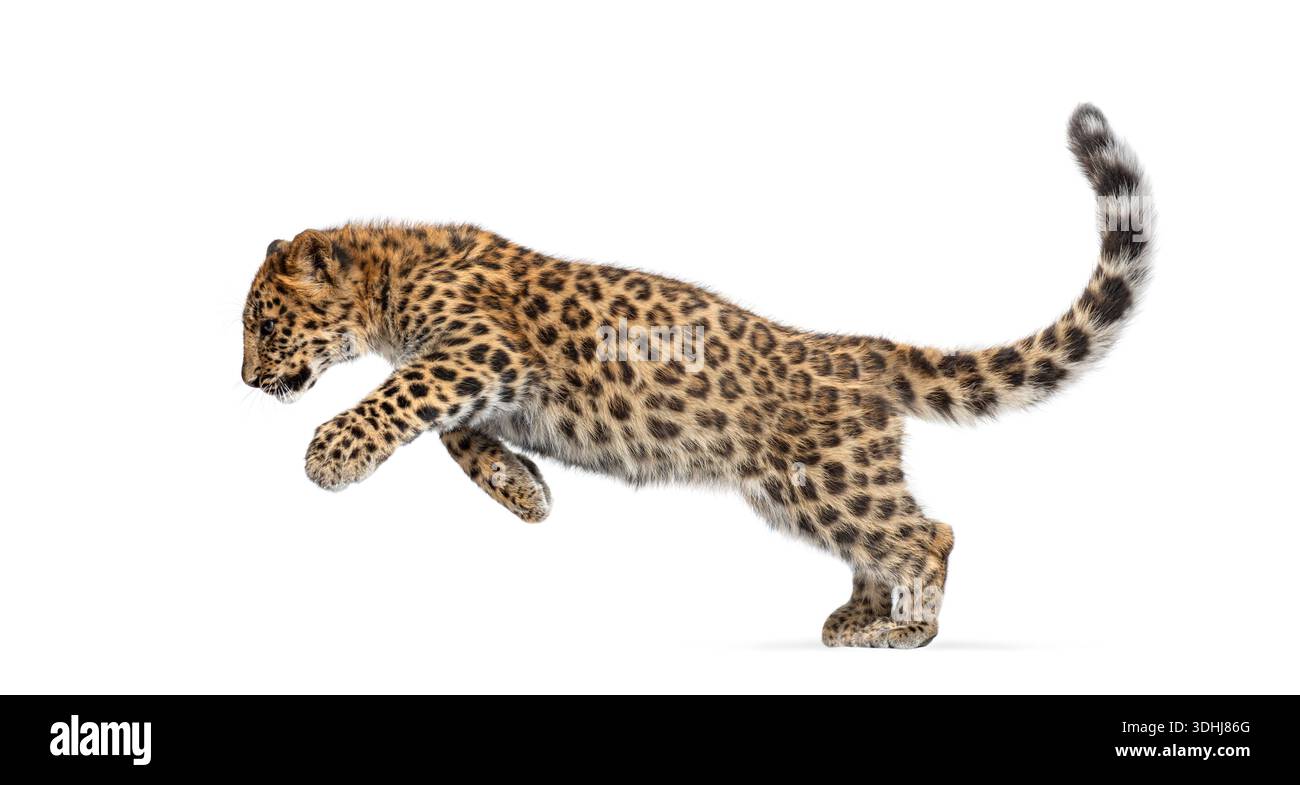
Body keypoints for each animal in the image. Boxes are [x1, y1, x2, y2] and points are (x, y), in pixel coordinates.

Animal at [240, 105, 1151, 648]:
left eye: (261, 325)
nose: (246, 381)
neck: (387, 282)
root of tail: (860, 346)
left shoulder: (480, 350)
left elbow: (398, 400)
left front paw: (330, 456)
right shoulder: (476, 376)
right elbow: (456, 437)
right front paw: (525, 491)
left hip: (832, 478)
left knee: (929, 532)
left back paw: (909, 630)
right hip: (796, 489)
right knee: (878, 542)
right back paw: (856, 616)